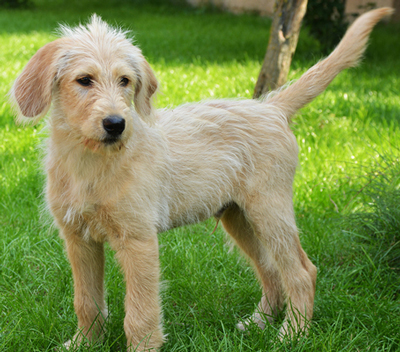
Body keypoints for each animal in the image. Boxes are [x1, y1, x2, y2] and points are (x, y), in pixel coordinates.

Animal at [10, 6, 394, 350]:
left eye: (125, 81)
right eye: (84, 80)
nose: (116, 124)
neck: (90, 161)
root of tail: (271, 106)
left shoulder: (138, 240)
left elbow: (140, 311)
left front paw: (142, 345)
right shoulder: (79, 239)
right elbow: (86, 302)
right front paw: (84, 344)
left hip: (269, 209)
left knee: (301, 272)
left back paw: (292, 334)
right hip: (239, 216)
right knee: (270, 270)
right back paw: (259, 323)